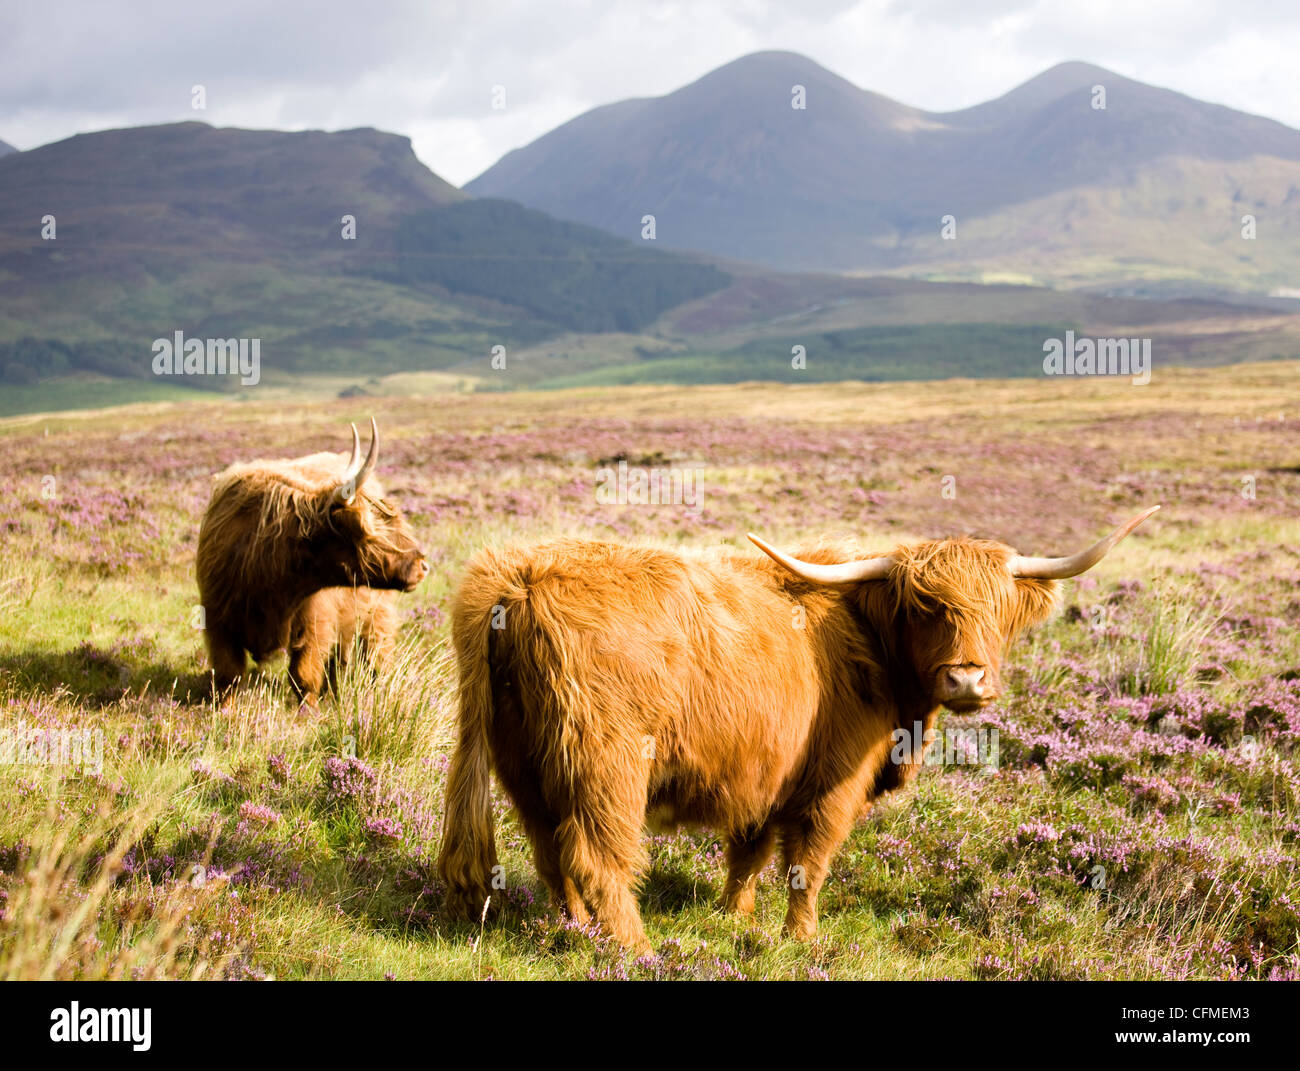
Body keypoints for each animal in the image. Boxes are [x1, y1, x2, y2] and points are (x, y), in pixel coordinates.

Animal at [195, 421, 426, 712]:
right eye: (373, 532)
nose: (422, 564)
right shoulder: (218, 621)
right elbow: (229, 675)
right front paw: (225, 710)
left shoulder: (315, 620)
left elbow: (303, 672)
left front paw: (308, 711)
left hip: (376, 610)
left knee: (374, 650)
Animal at [436, 506, 1159, 951]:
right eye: (927, 607)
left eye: (999, 609)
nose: (967, 680)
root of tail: (517, 579)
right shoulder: (833, 782)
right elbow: (809, 862)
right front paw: (802, 937)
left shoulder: (762, 774)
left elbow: (749, 854)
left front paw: (734, 916)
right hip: (606, 762)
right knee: (598, 856)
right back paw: (634, 946)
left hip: (524, 764)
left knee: (550, 851)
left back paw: (576, 930)